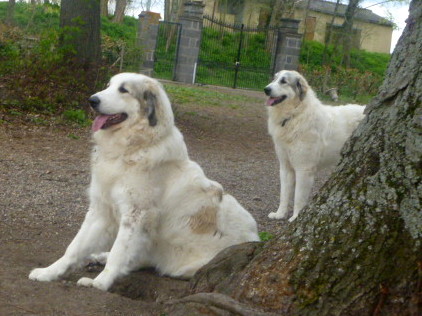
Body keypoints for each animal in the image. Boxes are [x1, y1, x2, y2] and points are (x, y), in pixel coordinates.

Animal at [28, 73, 258, 290]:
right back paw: (99, 257)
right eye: (108, 85)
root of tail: (256, 238)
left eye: (123, 90)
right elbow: (74, 247)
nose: (91, 100)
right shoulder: (101, 210)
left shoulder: (136, 215)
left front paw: (100, 283)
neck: (131, 149)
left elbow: (119, 252)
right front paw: (49, 272)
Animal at [264, 70, 366, 222]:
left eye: (283, 81)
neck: (295, 115)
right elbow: (284, 195)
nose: (266, 89)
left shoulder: (304, 169)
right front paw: (280, 214)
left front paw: (296, 217)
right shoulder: (285, 168)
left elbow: (298, 197)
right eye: (274, 79)